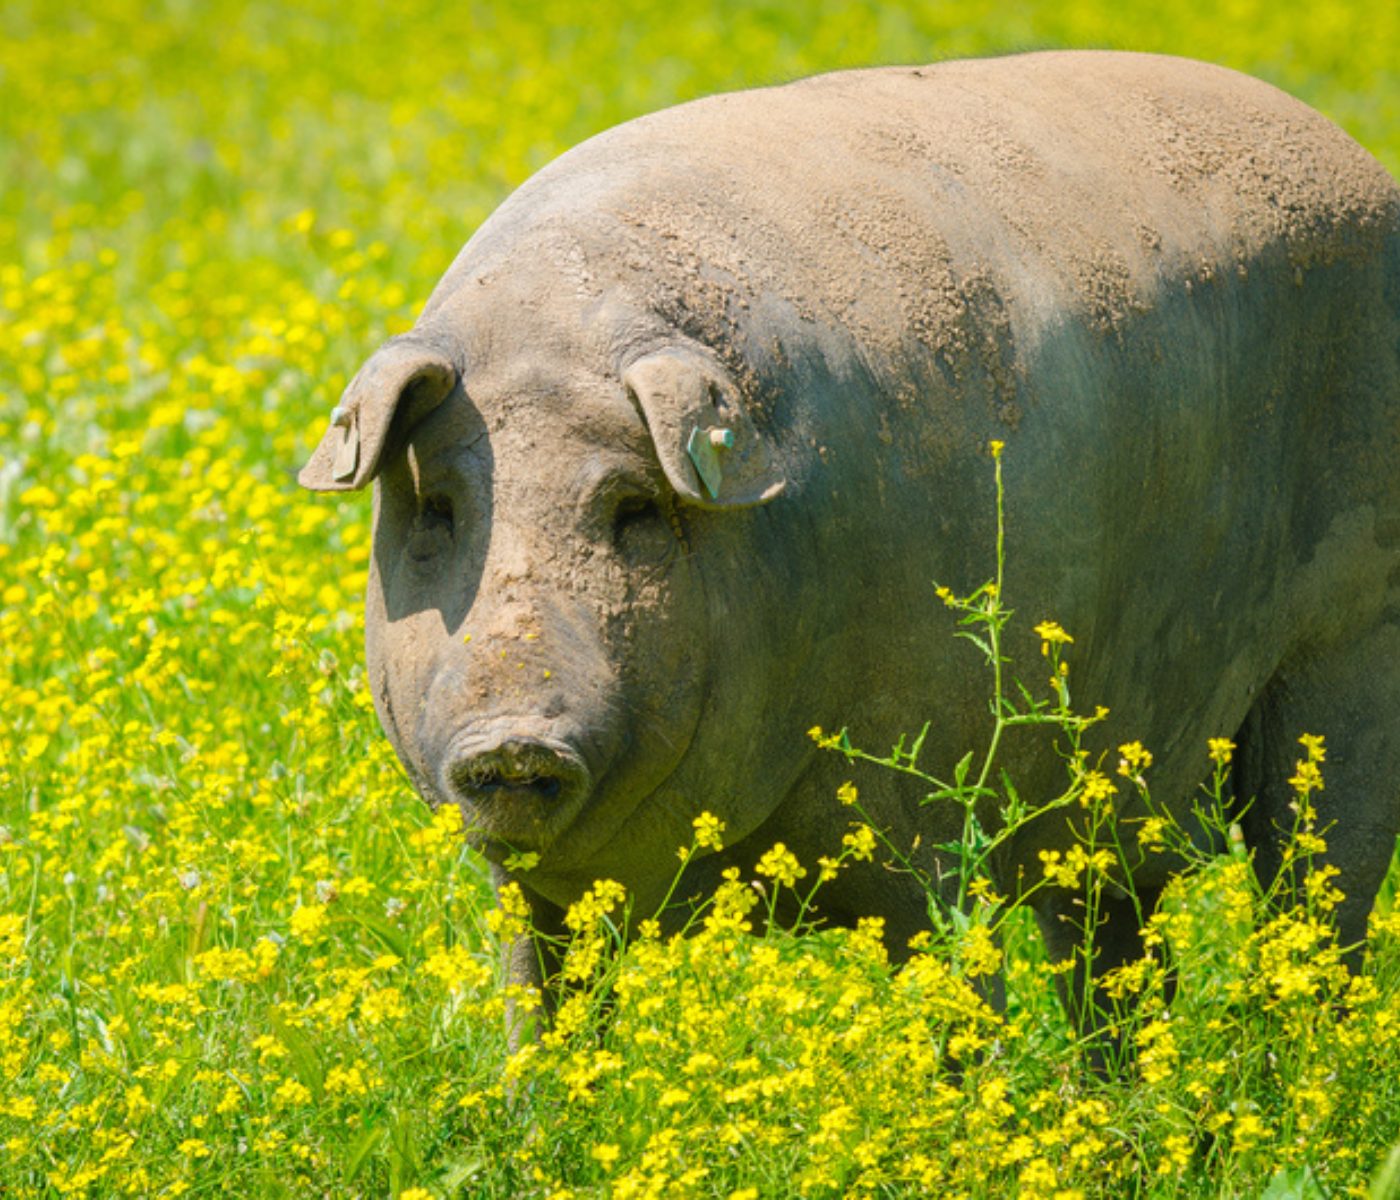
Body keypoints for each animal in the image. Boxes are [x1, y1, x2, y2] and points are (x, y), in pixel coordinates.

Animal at [301, 51, 1400, 1036]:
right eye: (438, 511)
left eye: (632, 508)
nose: (511, 739)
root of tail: (1354, 159)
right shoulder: (535, 892)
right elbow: (542, 1018)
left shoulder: (931, 815)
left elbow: (960, 1000)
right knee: (1114, 950)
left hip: (1351, 646)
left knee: (1319, 893)